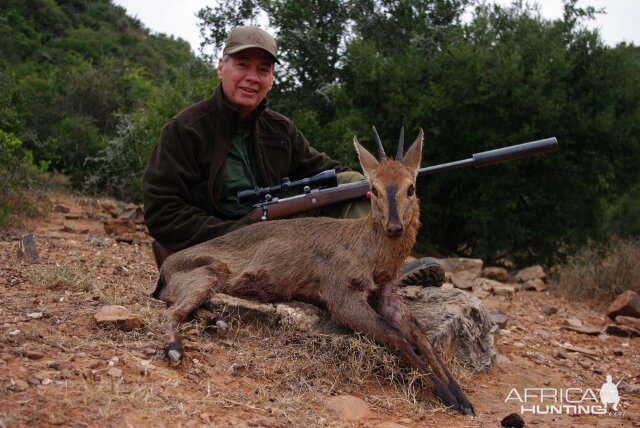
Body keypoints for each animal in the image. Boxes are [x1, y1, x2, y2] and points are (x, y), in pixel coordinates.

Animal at [152, 128, 476, 414]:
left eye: (411, 187)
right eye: (373, 189)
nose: (394, 227)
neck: (369, 252)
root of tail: (165, 267)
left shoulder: (386, 294)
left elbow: (421, 337)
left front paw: (464, 399)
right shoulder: (341, 298)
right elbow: (396, 337)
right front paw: (449, 398)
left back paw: (217, 321)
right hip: (205, 277)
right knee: (169, 311)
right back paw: (175, 349)